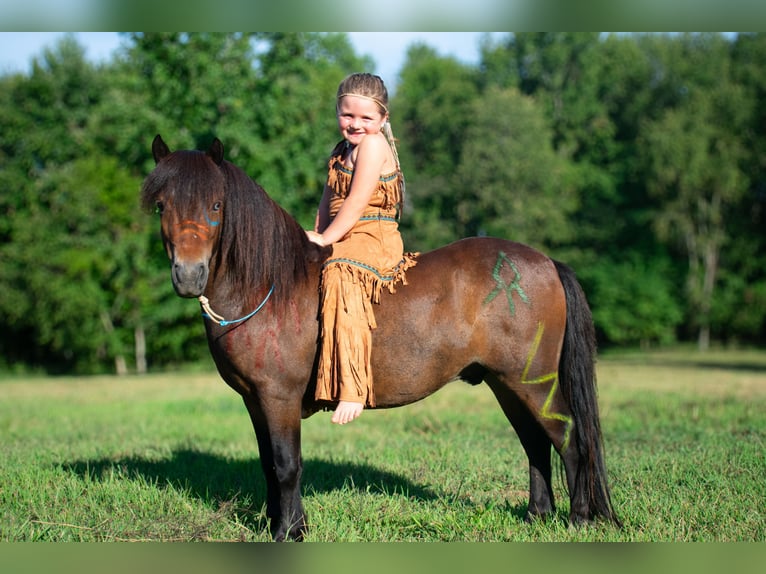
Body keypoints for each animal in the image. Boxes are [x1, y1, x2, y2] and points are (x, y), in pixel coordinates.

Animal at [141, 136, 620, 544]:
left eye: (216, 204)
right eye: (163, 206)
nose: (188, 276)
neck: (271, 286)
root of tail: (546, 262)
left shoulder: (278, 398)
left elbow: (286, 465)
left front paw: (287, 532)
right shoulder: (255, 401)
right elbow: (268, 464)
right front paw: (285, 523)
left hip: (533, 383)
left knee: (568, 437)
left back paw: (579, 518)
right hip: (506, 384)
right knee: (535, 442)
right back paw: (537, 514)